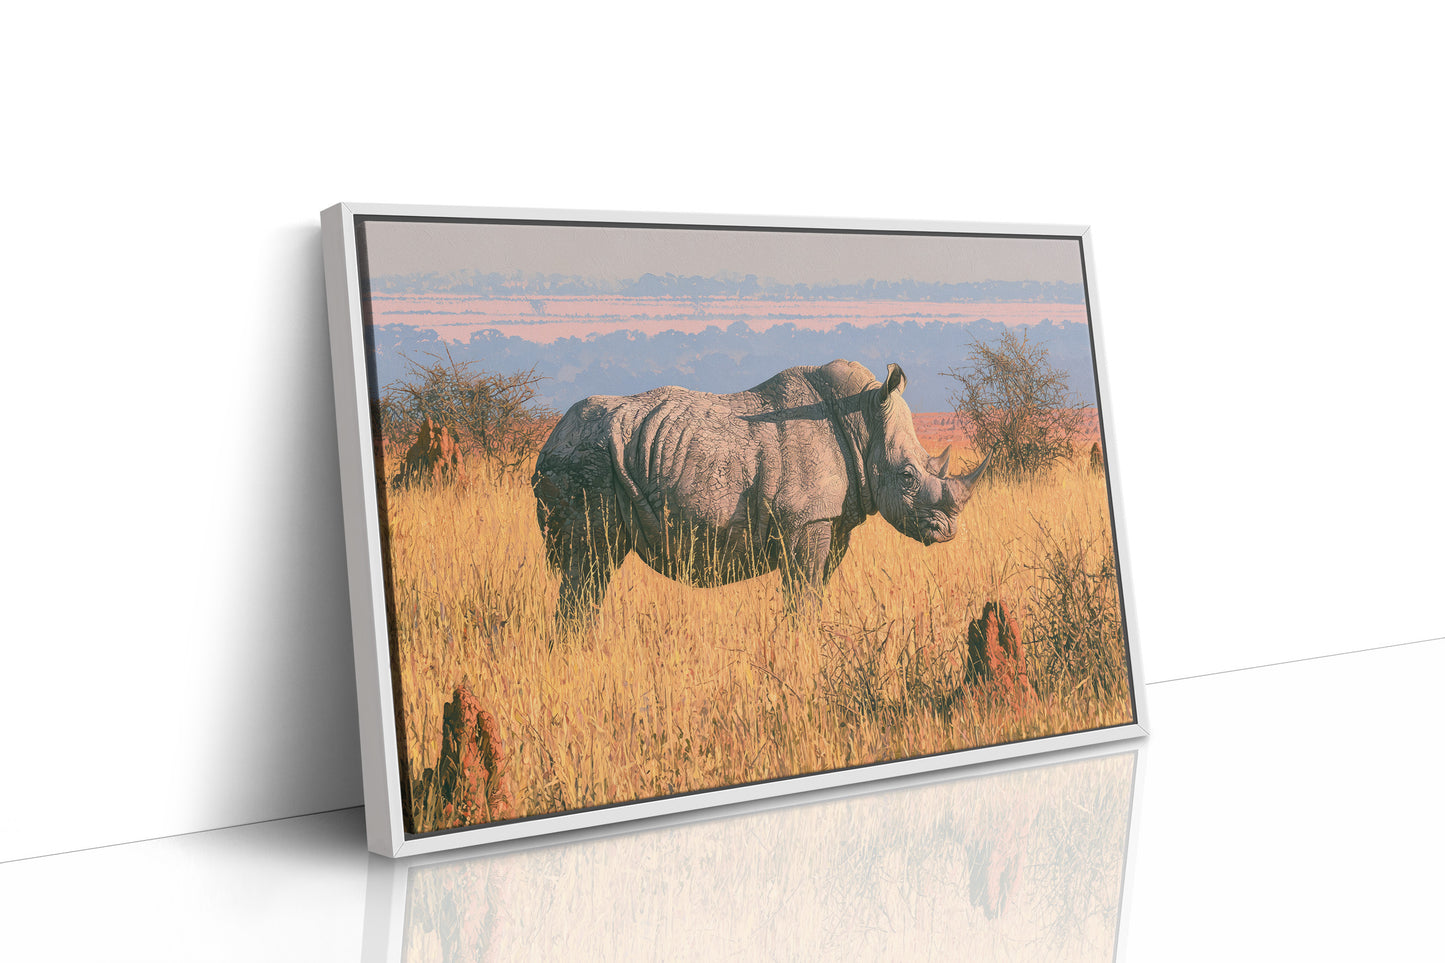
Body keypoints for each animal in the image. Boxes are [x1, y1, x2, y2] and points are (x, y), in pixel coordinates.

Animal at [531, 359, 989, 623]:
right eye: (908, 476)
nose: (947, 531)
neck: (863, 420)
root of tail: (550, 438)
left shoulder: (832, 521)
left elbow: (814, 589)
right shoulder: (806, 519)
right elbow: (802, 593)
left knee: (595, 567)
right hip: (586, 456)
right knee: (590, 559)